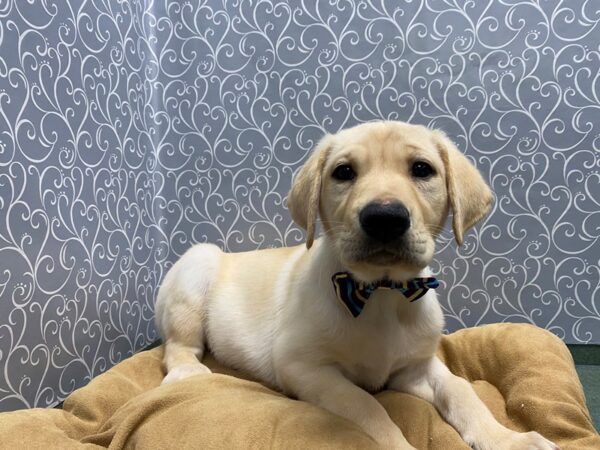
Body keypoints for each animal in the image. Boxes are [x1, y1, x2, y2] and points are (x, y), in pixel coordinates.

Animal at [155, 121, 556, 448]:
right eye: (344, 172)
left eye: (422, 169)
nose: (384, 218)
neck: (381, 293)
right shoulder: (305, 367)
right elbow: (369, 409)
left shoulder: (415, 368)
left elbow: (461, 390)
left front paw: (507, 439)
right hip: (197, 267)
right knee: (178, 347)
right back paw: (189, 372)